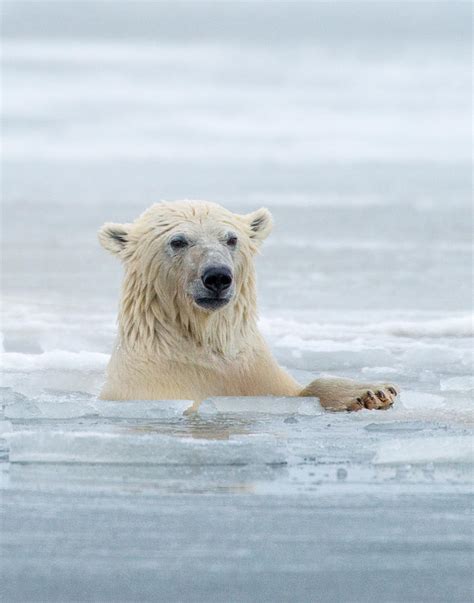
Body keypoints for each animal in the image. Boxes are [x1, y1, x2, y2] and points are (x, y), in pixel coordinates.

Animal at [98, 201, 398, 412]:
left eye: (231, 239)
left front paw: (372, 392)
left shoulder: (253, 371)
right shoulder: (154, 384)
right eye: (178, 241)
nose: (217, 276)